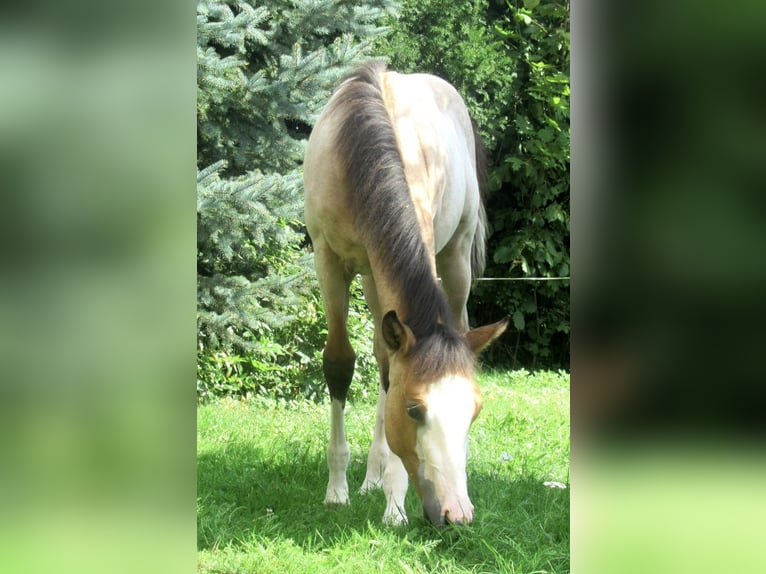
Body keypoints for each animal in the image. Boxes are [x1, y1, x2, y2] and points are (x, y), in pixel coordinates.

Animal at [303, 61, 508, 526]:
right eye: (414, 410)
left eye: (474, 411)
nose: (457, 513)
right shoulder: (328, 259)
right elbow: (340, 363)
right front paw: (337, 490)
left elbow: (387, 372)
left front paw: (394, 505)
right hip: (370, 277)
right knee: (382, 355)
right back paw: (368, 479)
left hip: (454, 259)